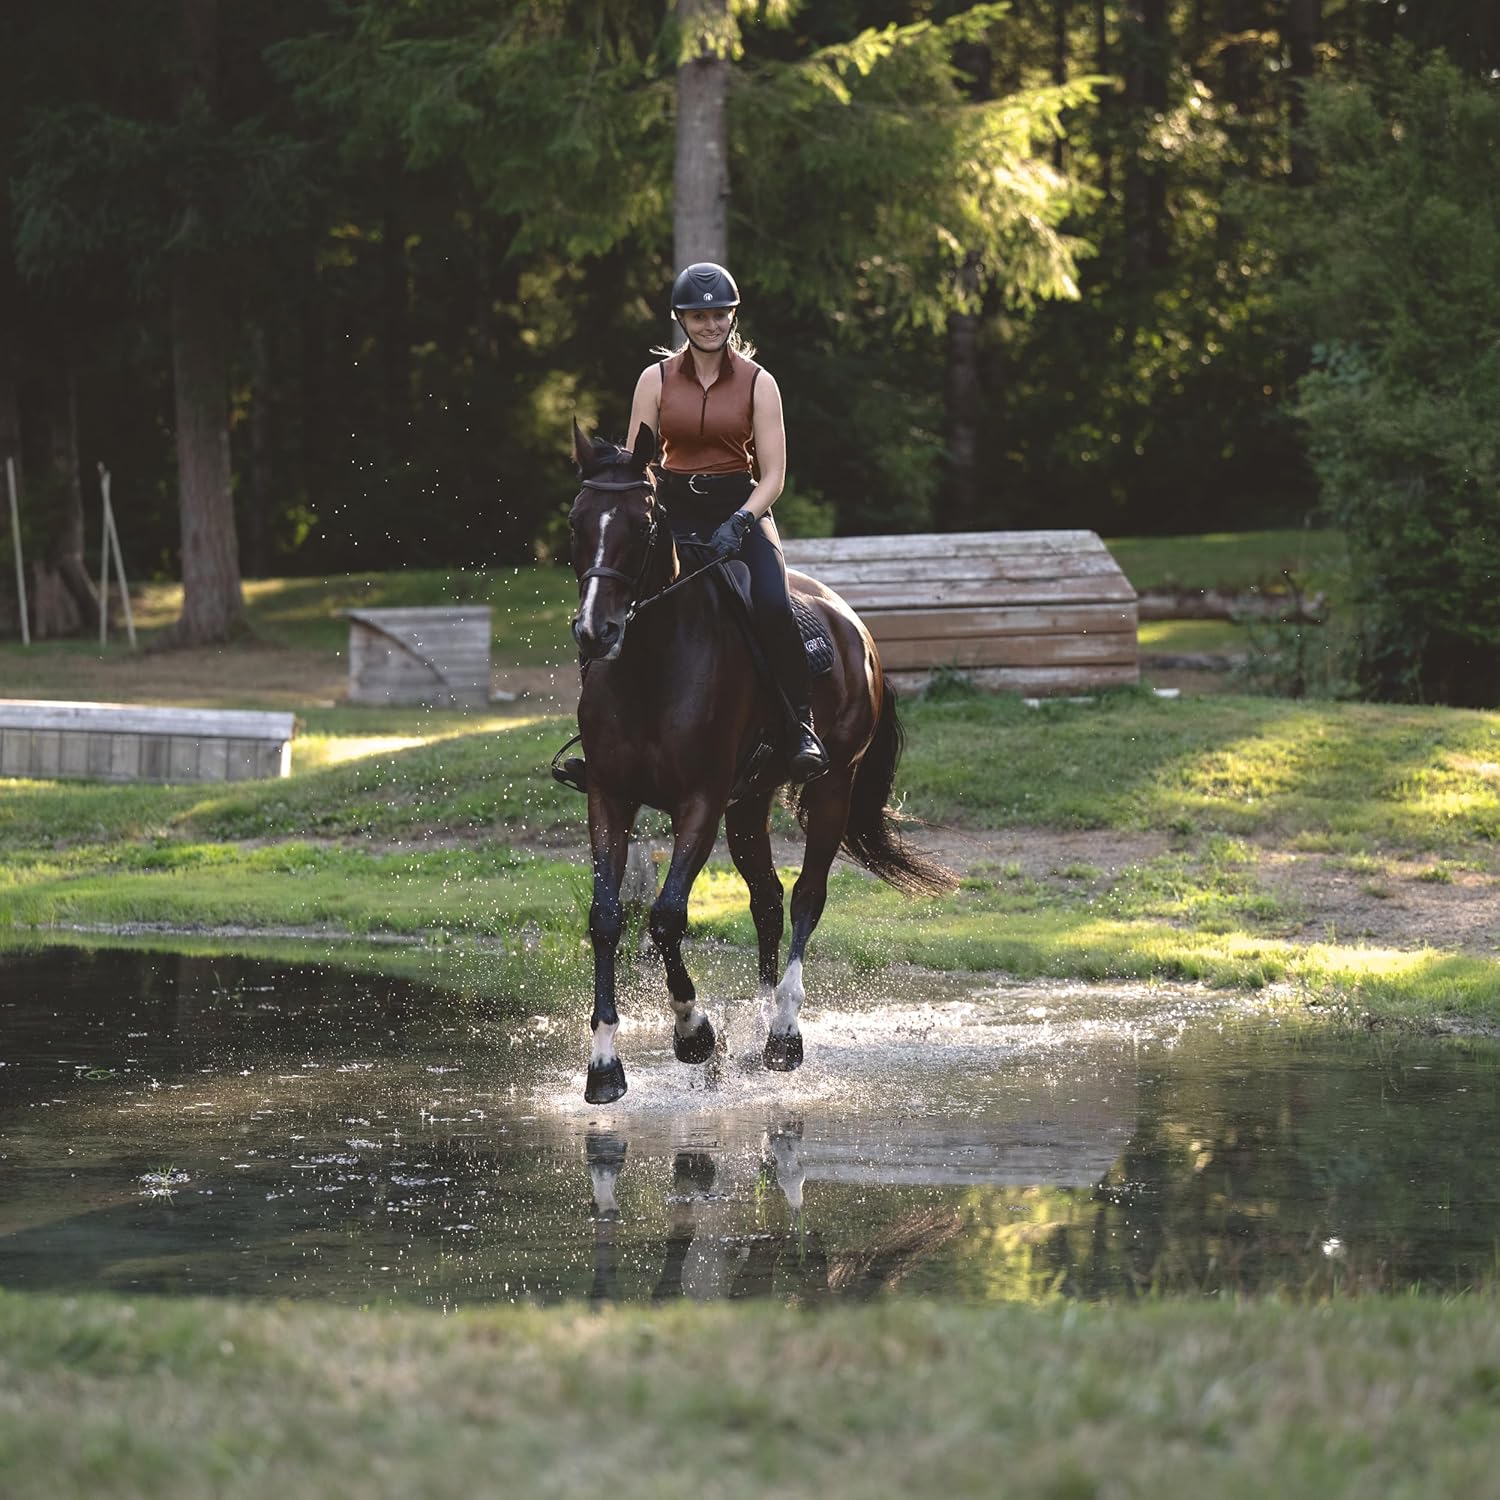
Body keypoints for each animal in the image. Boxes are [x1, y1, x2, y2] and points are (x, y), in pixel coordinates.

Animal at [566, 420, 955, 1104]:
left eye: (642, 525)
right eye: (576, 523)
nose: (595, 632)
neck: (650, 667)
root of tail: (856, 626)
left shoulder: (698, 801)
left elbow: (666, 918)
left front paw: (695, 1035)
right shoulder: (610, 795)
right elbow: (607, 918)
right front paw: (605, 1064)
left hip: (829, 789)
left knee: (805, 898)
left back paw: (783, 1034)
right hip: (748, 803)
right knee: (768, 901)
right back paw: (757, 1028)